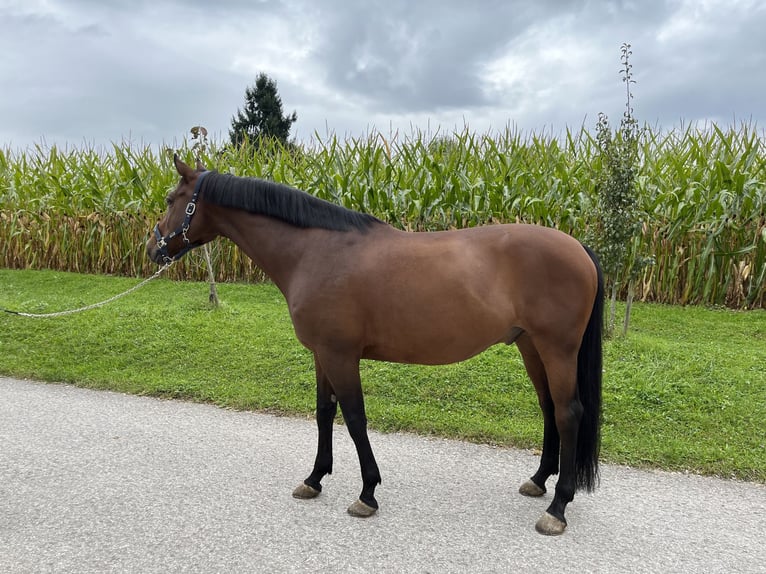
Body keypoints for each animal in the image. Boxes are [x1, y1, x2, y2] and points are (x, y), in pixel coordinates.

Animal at [147, 155, 604, 536]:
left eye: (171, 199)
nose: (152, 248)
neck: (315, 251)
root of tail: (578, 247)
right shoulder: (321, 355)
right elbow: (324, 413)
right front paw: (314, 479)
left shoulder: (340, 355)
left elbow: (354, 418)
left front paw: (367, 493)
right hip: (530, 347)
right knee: (548, 408)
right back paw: (538, 481)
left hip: (557, 350)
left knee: (568, 413)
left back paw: (558, 508)